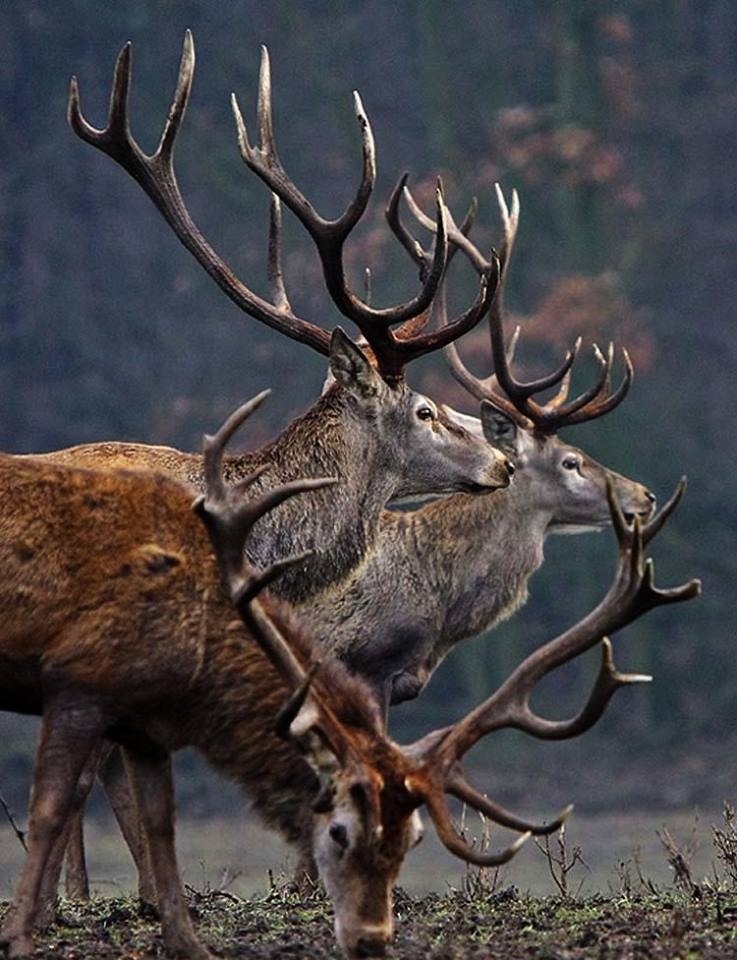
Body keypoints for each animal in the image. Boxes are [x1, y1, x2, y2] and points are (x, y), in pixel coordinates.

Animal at [0, 392, 700, 960]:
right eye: (573, 461)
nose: (642, 496)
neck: (434, 595)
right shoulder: (360, 665)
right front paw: (314, 884)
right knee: (89, 772)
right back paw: (72, 903)